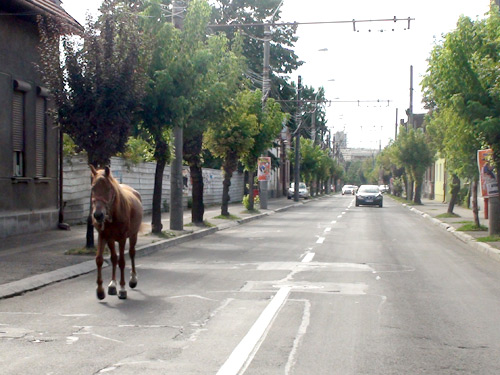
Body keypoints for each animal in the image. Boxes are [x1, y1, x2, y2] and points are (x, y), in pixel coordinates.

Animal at [89, 166, 143, 302]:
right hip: (111, 240)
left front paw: (123, 289)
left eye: (108, 188)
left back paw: (133, 279)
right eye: (93, 188)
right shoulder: (103, 236)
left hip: (133, 235)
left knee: (131, 253)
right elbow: (99, 260)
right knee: (114, 258)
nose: (98, 215)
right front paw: (100, 291)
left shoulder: (123, 238)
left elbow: (122, 261)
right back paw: (113, 284)